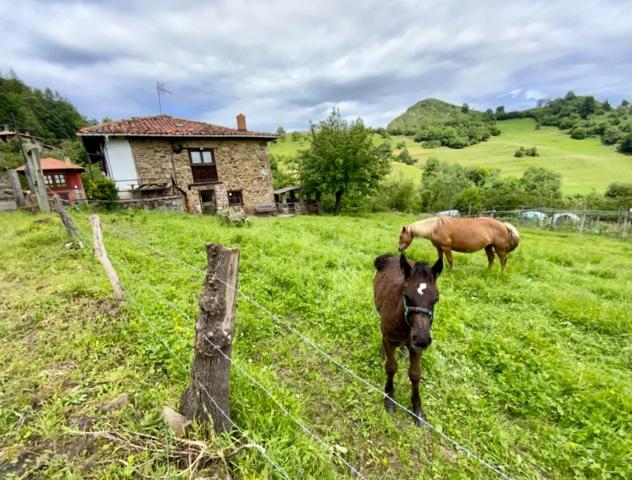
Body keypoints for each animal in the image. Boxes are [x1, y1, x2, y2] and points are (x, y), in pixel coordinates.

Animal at [372, 253, 442, 426]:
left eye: (436, 299)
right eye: (407, 296)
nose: (422, 339)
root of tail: (392, 256)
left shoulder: (416, 348)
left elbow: (415, 374)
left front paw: (417, 410)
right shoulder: (390, 339)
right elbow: (391, 367)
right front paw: (389, 399)